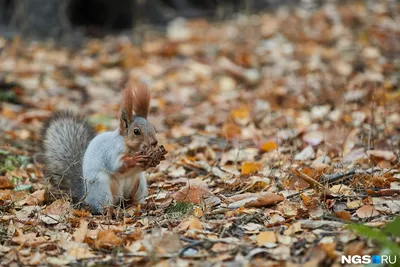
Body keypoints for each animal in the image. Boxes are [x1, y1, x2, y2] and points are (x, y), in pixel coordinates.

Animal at [40, 85, 166, 215]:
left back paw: (144, 205)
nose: (154, 142)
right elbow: (117, 165)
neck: (131, 148)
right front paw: (135, 159)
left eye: (152, 127)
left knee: (131, 200)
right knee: (104, 207)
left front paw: (158, 158)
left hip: (139, 183)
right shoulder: (111, 152)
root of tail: (86, 196)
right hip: (101, 187)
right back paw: (110, 211)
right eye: (136, 131)